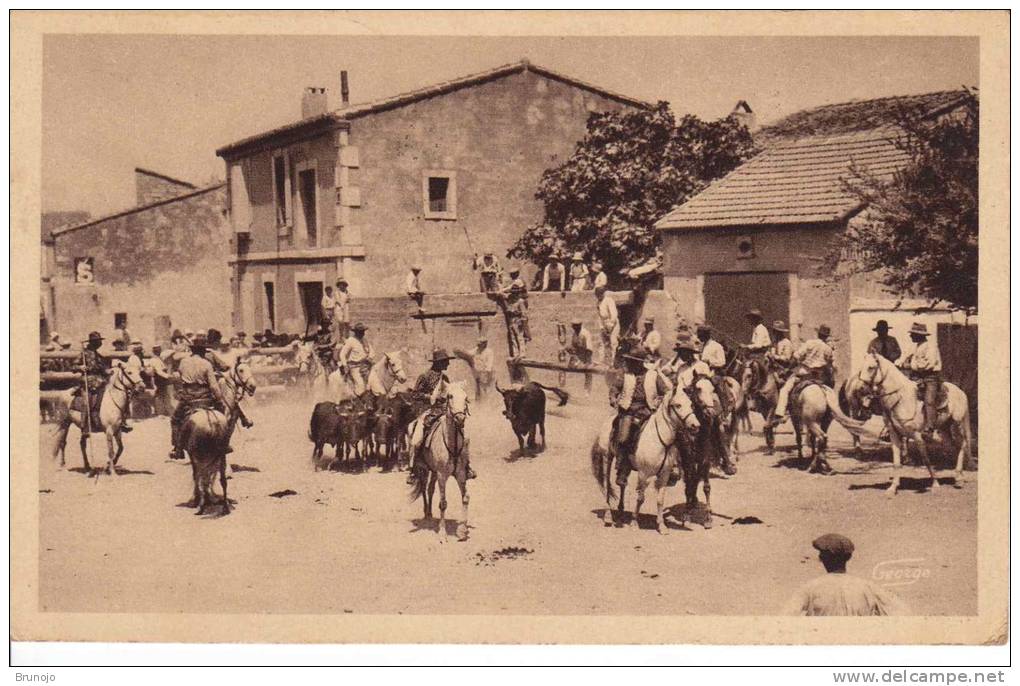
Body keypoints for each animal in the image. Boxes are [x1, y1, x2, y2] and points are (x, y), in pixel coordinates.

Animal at [587, 383, 705, 534]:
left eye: (691, 405)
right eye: (678, 405)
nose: (696, 426)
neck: (659, 440)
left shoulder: (664, 475)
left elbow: (660, 500)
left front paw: (662, 526)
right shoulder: (644, 474)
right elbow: (640, 498)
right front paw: (634, 522)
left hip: (625, 466)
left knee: (622, 484)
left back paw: (620, 511)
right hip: (607, 457)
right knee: (607, 486)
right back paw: (608, 516)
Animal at [852, 352, 971, 493]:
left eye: (871, 367)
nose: (859, 389)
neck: (901, 399)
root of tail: (961, 392)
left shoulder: (917, 435)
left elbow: (926, 460)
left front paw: (935, 483)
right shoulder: (894, 435)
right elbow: (896, 462)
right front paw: (893, 488)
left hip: (957, 424)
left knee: (962, 445)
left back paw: (959, 478)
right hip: (944, 428)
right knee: (953, 447)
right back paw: (958, 476)